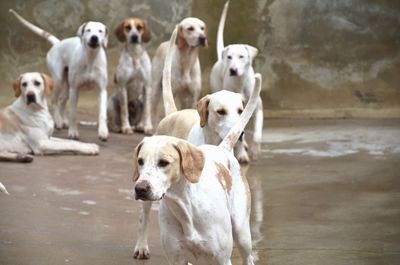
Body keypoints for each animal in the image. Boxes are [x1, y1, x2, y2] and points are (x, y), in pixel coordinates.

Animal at [9, 8, 109, 140]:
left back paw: (63, 120)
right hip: (59, 81)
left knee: (61, 101)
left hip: (67, 87)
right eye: (88, 30)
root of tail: (58, 43)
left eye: (100, 31)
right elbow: (73, 113)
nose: (94, 37)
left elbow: (102, 113)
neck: (90, 58)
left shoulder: (102, 90)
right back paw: (58, 121)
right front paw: (73, 132)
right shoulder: (75, 89)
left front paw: (103, 131)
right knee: (54, 101)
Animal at [134, 25, 252, 258]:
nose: (241, 134)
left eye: (240, 110)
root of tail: (173, 113)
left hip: (243, 233)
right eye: (220, 111)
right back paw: (141, 245)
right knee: (143, 218)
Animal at [208, 1, 264, 158]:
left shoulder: (257, 108)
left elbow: (257, 132)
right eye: (229, 57)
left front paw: (255, 149)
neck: (240, 82)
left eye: (241, 56)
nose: (232, 69)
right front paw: (242, 152)